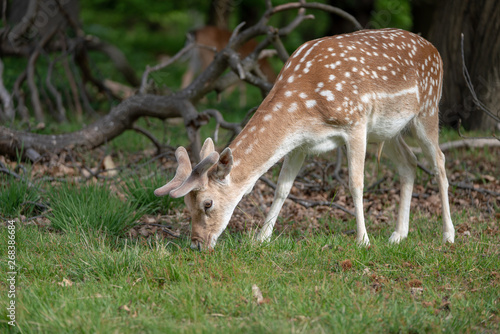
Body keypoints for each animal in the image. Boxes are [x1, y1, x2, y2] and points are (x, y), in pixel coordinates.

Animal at [156, 28, 458, 250]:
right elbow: (282, 188)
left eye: (207, 204)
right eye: (186, 205)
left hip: (427, 109)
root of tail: (436, 51)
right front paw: (262, 238)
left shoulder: (355, 122)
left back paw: (448, 235)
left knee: (440, 162)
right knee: (409, 163)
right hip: (387, 129)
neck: (305, 104)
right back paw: (398, 235)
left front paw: (363, 240)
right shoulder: (300, 143)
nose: (196, 244)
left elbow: (356, 183)